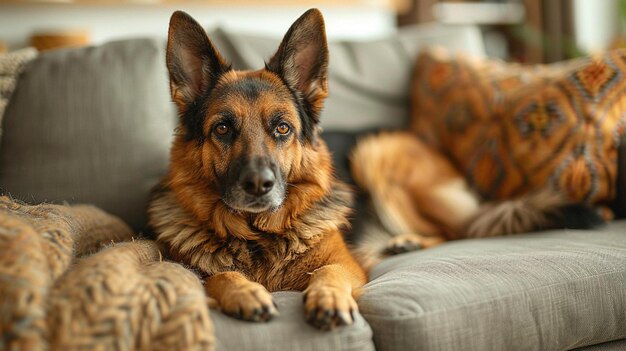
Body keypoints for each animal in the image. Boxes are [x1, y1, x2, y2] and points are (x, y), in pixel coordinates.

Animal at [149, 9, 366, 332]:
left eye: (282, 128)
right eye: (223, 128)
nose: (257, 184)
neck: (258, 238)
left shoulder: (349, 265)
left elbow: (329, 270)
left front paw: (329, 296)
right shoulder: (188, 270)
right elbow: (219, 275)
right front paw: (245, 292)